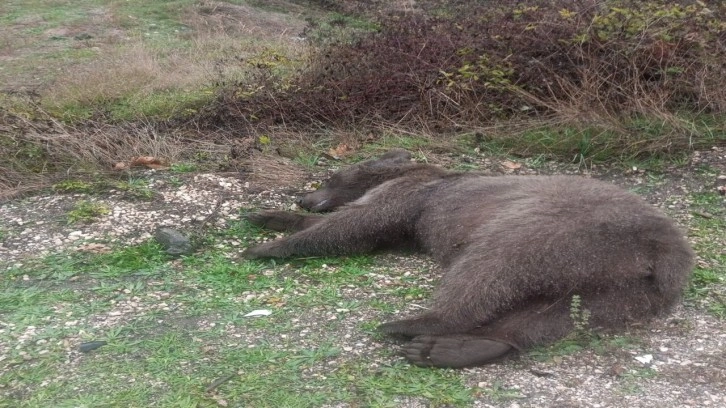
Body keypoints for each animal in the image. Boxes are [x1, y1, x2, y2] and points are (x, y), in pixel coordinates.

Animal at [242, 150, 696, 370]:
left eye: (330, 176)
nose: (305, 196)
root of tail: (664, 249)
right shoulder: (409, 221)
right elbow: (360, 229)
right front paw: (268, 216)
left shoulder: (413, 198)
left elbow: (357, 224)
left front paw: (265, 246)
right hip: (625, 287)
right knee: (557, 315)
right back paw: (458, 348)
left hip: (552, 230)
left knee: (486, 271)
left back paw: (413, 325)